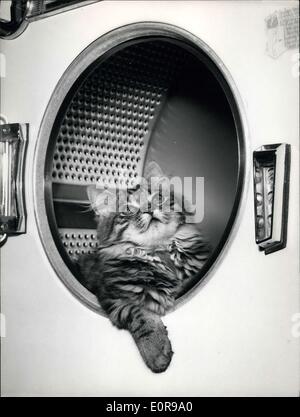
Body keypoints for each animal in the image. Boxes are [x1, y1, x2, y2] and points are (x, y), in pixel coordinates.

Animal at [77, 161, 210, 372]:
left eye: (156, 197)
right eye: (128, 210)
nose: (149, 208)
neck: (158, 251)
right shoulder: (115, 299)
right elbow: (141, 317)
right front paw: (156, 352)